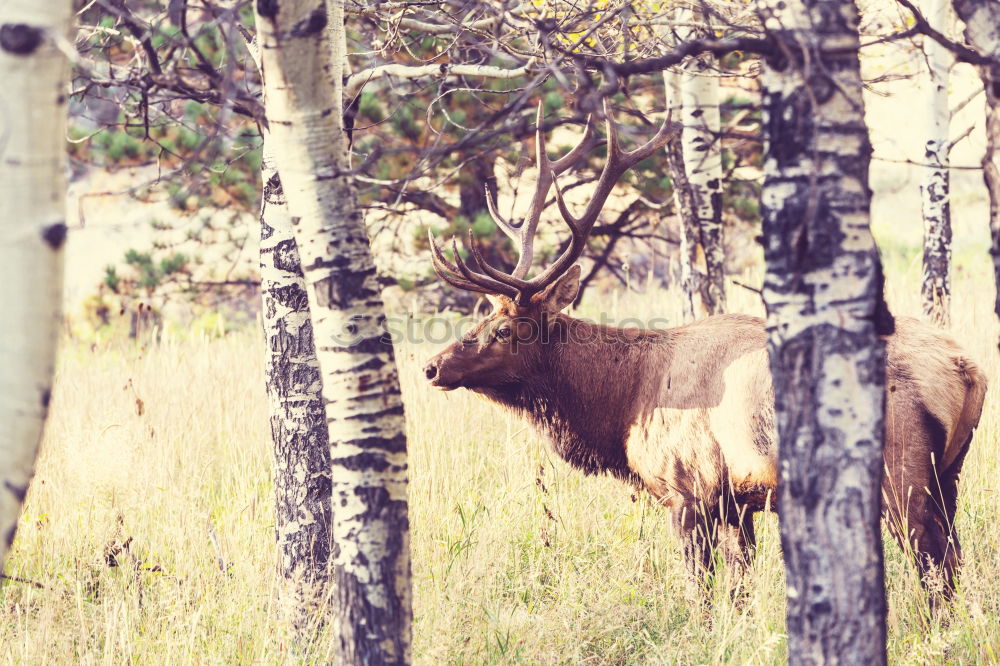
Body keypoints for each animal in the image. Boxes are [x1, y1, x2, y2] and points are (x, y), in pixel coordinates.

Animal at [422, 101, 984, 600]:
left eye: (505, 329)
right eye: (482, 316)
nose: (431, 367)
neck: (623, 405)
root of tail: (967, 369)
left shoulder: (688, 489)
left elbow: (701, 590)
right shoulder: (737, 502)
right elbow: (738, 588)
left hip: (900, 471)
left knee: (933, 565)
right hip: (949, 473)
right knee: (954, 558)